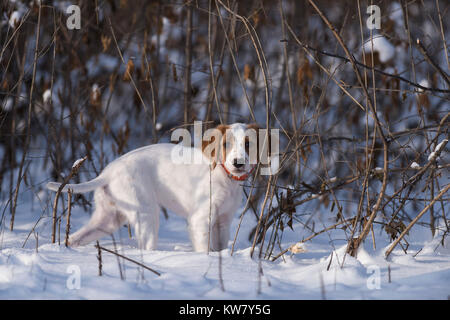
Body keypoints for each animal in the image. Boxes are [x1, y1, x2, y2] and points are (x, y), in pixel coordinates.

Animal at [47, 124, 260, 251]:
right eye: (226, 144)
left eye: (249, 144)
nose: (238, 163)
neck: (225, 177)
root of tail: (108, 172)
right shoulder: (200, 219)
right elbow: (204, 249)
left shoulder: (223, 222)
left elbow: (220, 247)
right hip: (146, 212)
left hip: (108, 218)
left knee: (75, 237)